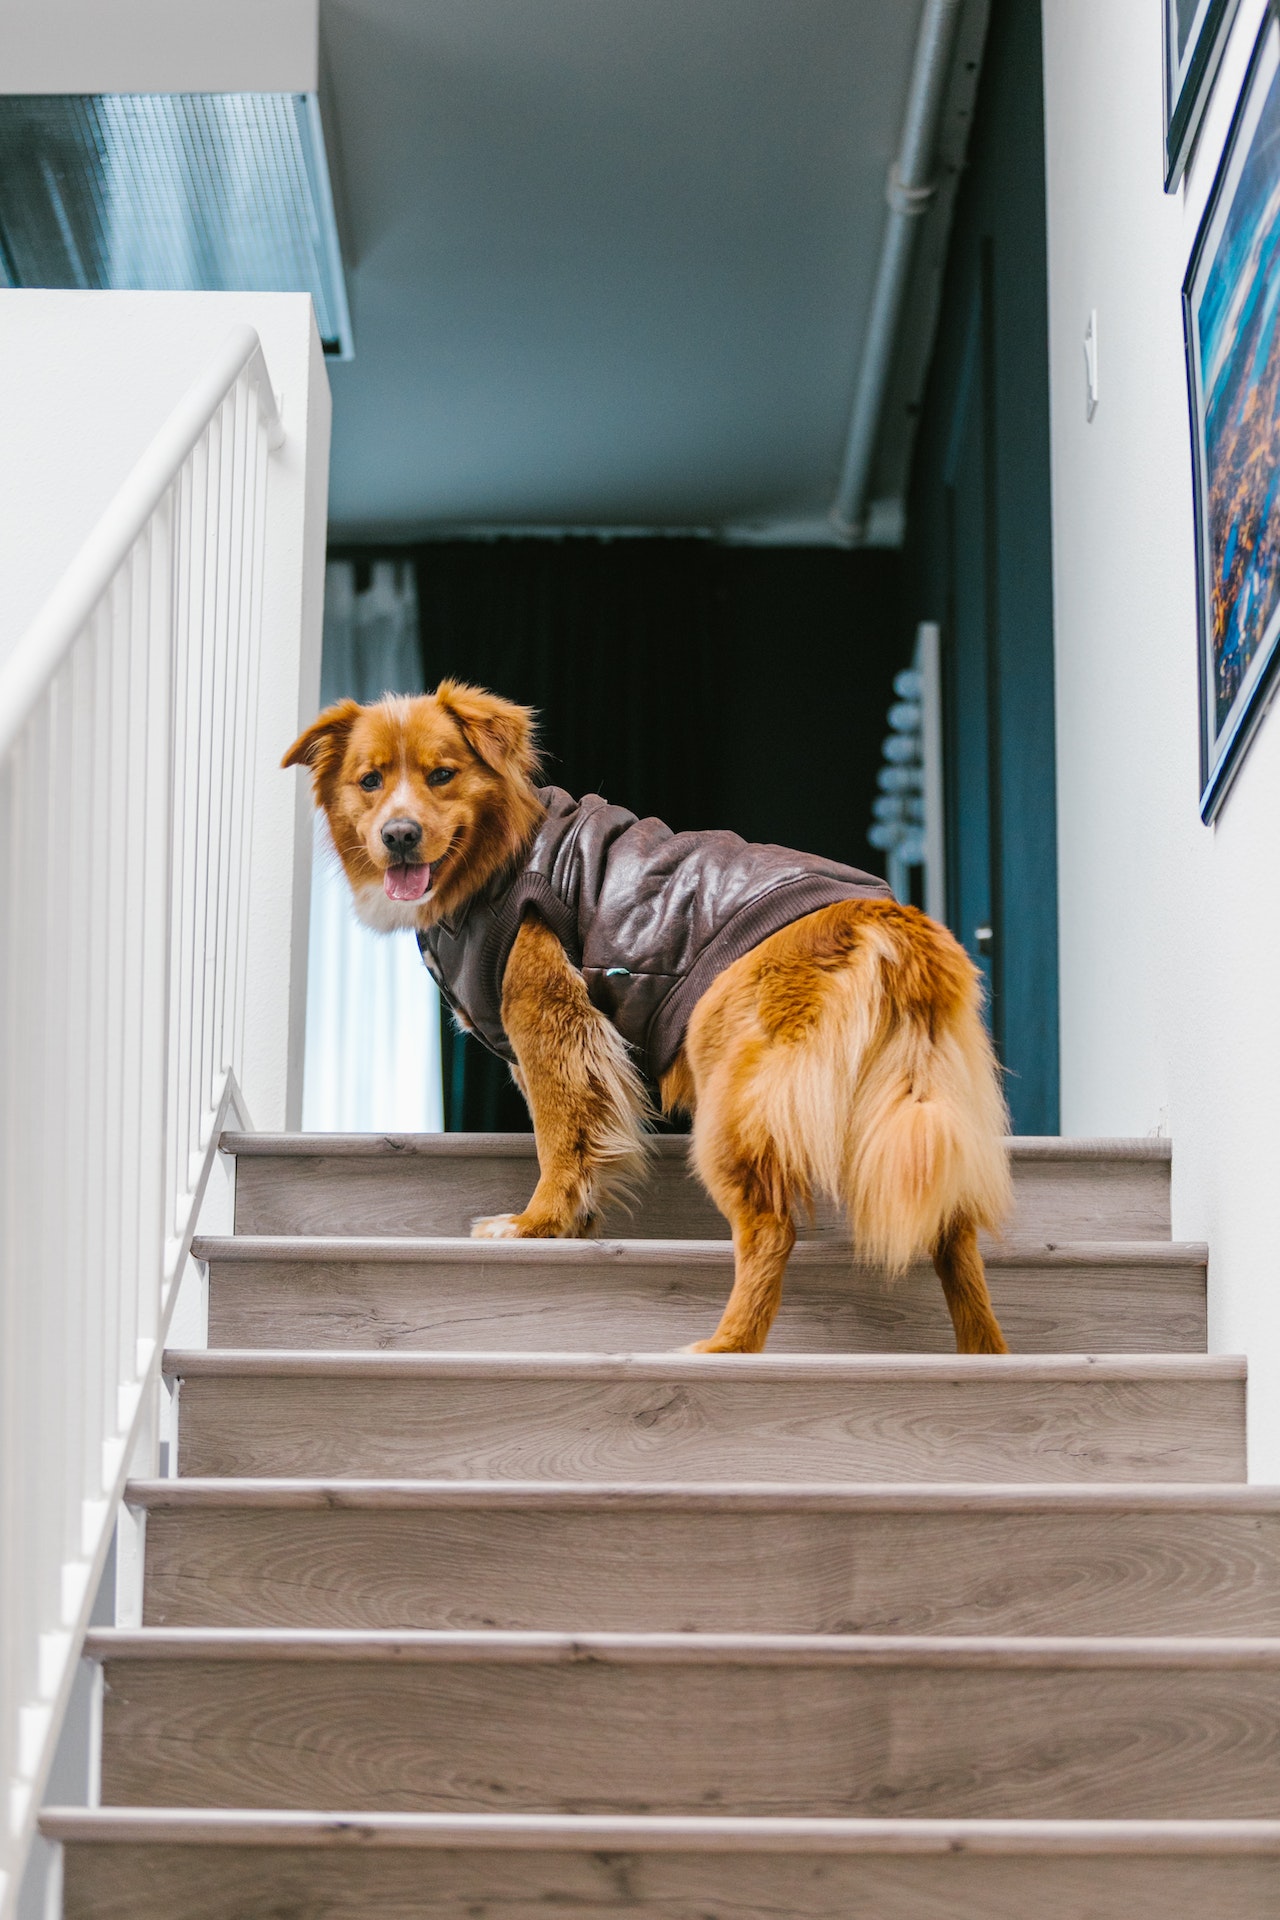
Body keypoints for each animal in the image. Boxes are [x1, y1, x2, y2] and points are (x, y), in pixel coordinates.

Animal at [285, 683, 1013, 1359]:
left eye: (442, 774)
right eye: (370, 781)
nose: (399, 835)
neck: (498, 854)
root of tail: (888, 921)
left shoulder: (548, 1020)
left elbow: (561, 1136)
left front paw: (536, 1224)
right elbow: (581, 1139)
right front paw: (573, 1226)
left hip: (734, 1104)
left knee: (771, 1228)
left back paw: (727, 1348)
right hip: (915, 1106)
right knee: (953, 1232)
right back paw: (983, 1355)